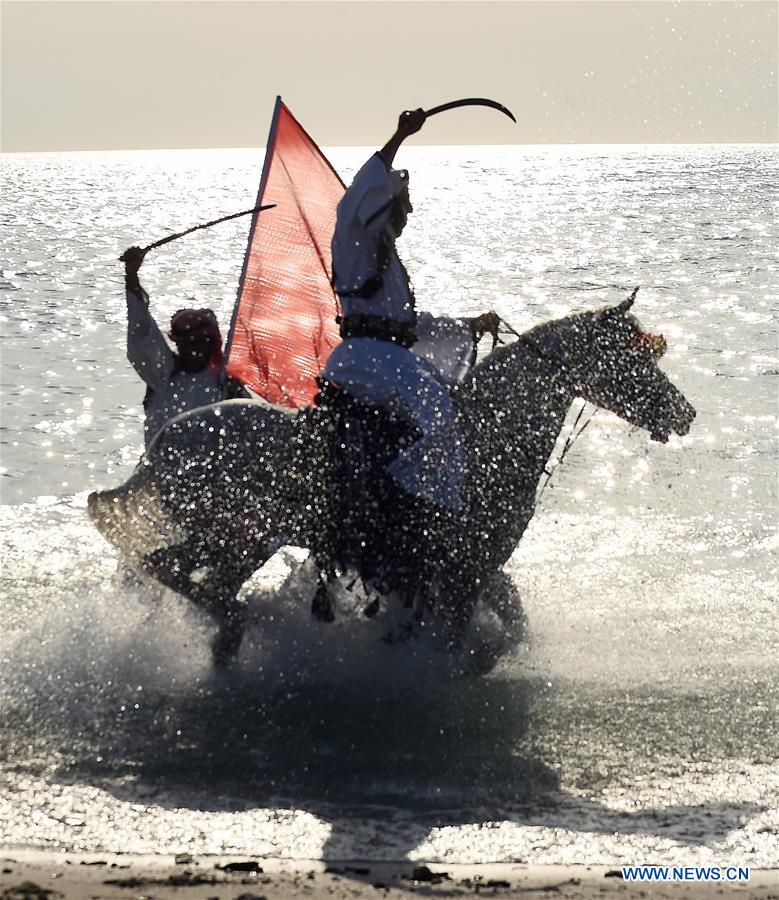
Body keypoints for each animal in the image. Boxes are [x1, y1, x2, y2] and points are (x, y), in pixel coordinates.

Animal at [88, 291, 695, 666]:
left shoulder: (474, 567)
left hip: (239, 541)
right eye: (635, 360)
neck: (483, 438)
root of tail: (166, 443)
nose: (684, 413)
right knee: (174, 572)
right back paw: (242, 625)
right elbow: (464, 642)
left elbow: (512, 622)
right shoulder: (461, 569)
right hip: (238, 536)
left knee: (183, 576)